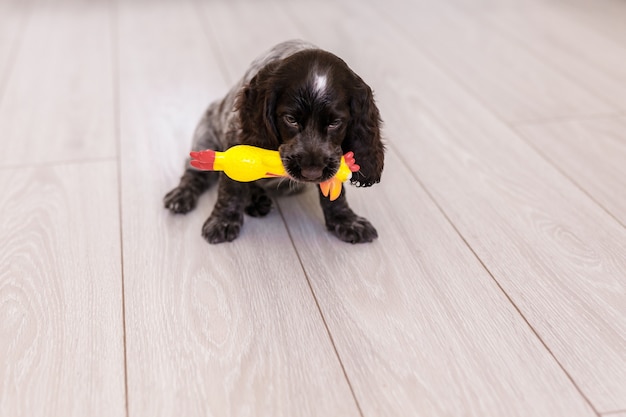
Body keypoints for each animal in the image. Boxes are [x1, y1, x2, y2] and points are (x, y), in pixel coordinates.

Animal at [163, 40, 382, 242]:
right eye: (291, 119)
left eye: (335, 123)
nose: (312, 173)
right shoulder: (235, 138)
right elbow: (231, 187)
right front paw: (223, 221)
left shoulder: (333, 156)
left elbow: (335, 193)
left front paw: (346, 220)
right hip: (206, 136)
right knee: (194, 173)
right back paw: (181, 195)